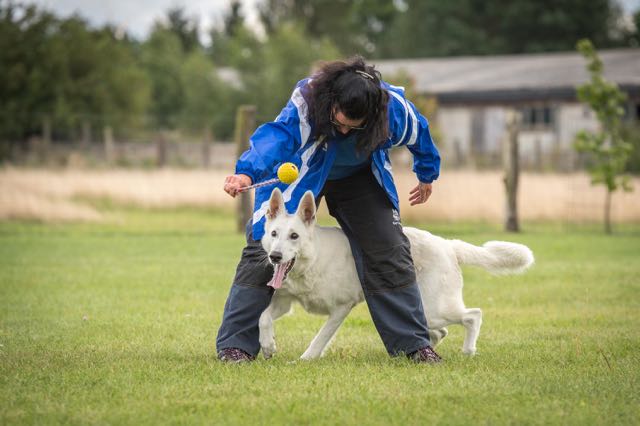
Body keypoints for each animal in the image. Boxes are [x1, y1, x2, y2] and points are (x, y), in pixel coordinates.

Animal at [258, 190, 532, 360]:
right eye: (274, 234)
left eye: (294, 236)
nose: (275, 257)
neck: (312, 261)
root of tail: (447, 244)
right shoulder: (284, 303)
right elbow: (264, 317)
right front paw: (268, 345)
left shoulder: (341, 308)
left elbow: (320, 338)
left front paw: (305, 359)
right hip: (428, 312)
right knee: (439, 332)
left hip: (435, 309)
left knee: (473, 315)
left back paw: (467, 350)